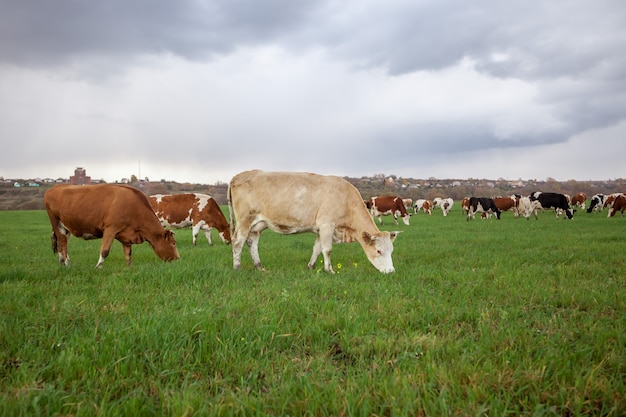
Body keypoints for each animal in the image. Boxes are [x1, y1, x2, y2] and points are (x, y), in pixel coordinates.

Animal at [42, 184, 179, 268]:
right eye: (173, 244)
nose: (178, 259)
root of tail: (54, 188)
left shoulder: (127, 236)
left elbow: (128, 254)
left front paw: (129, 267)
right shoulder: (110, 229)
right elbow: (104, 251)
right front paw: (98, 267)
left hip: (66, 227)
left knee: (62, 243)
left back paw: (63, 263)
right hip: (56, 223)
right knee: (62, 243)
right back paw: (67, 264)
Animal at [227, 169, 398, 272]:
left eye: (391, 250)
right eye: (378, 251)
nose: (391, 271)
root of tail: (238, 176)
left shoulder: (320, 229)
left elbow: (317, 248)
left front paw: (310, 266)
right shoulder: (327, 225)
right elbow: (327, 249)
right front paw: (330, 270)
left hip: (257, 225)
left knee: (251, 243)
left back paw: (260, 267)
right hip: (244, 220)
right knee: (238, 242)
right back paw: (237, 267)